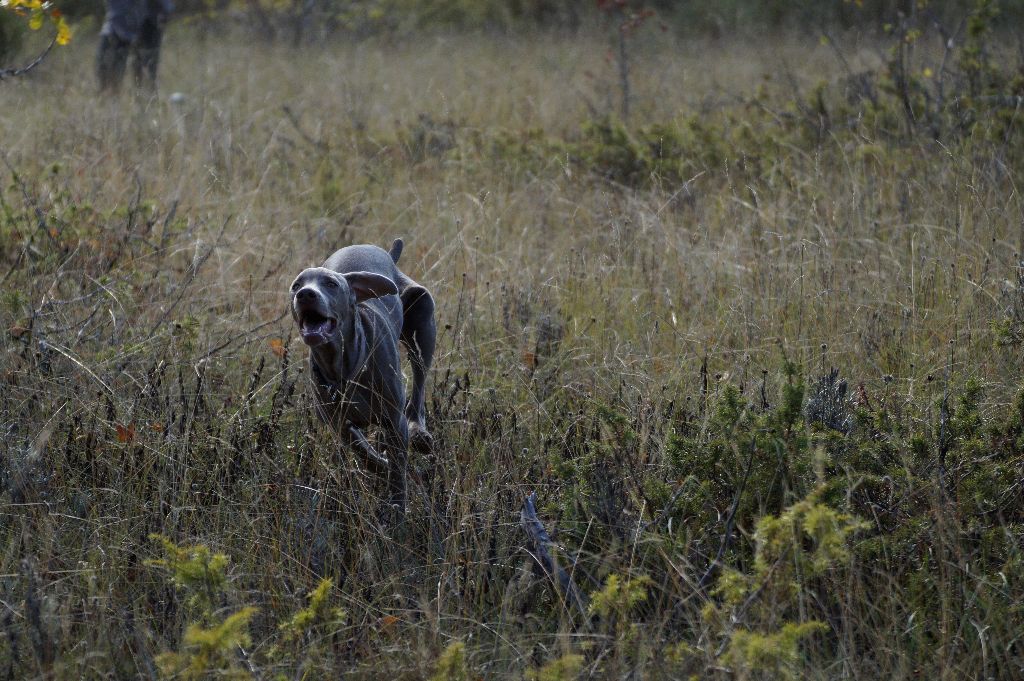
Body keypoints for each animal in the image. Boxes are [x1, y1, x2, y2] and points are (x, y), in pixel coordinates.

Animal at [288, 238, 436, 503]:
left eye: (331, 284)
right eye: (296, 286)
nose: (305, 294)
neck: (345, 369)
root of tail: (388, 254)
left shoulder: (394, 420)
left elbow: (398, 471)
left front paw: (397, 505)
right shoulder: (339, 425)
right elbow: (366, 455)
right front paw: (383, 466)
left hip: (422, 316)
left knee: (418, 387)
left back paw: (420, 435)